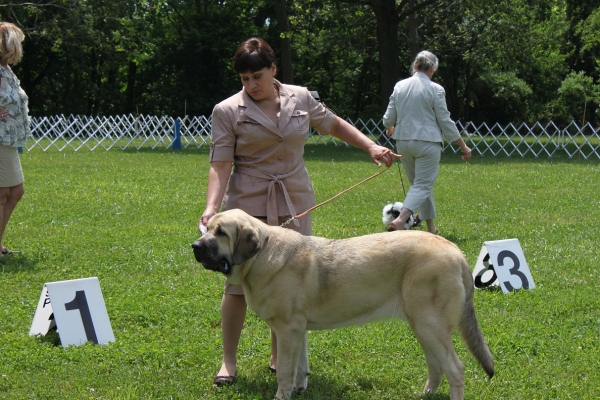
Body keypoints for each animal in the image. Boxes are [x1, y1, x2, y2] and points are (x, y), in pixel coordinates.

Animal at [191, 208, 492, 398]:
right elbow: (300, 365)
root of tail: (456, 253)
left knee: (456, 370)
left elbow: (285, 372)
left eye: (221, 233)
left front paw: (282, 395)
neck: (261, 255)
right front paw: (300, 388)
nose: (195, 246)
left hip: (430, 325)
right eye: (208, 228)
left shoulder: (287, 330)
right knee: (436, 366)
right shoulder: (298, 331)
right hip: (424, 327)